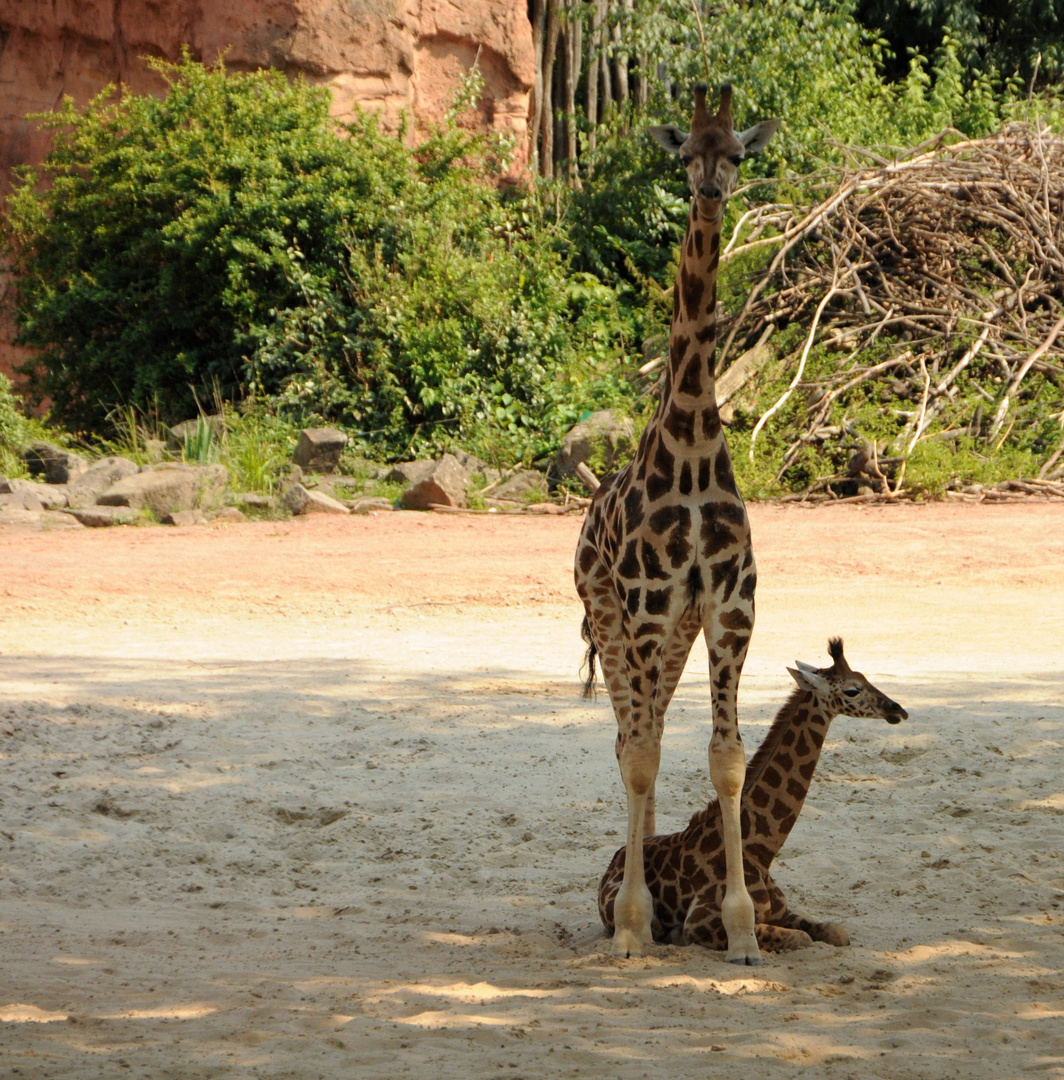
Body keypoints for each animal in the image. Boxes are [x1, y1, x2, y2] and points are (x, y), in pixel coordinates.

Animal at [596, 635, 903, 950]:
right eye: (853, 690)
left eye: (865, 678)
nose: (897, 709)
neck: (760, 850)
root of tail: (611, 864)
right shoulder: (700, 922)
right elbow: (801, 938)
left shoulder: (782, 911)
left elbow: (836, 932)